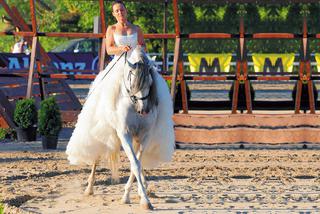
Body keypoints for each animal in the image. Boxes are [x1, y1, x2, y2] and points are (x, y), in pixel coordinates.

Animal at [65, 46, 175, 209]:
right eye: (132, 81)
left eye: (150, 82)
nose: (144, 110)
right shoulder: (124, 134)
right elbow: (135, 164)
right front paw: (135, 198)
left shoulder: (145, 136)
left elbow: (136, 164)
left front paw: (141, 197)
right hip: (101, 133)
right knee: (96, 157)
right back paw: (89, 188)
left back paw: (145, 188)